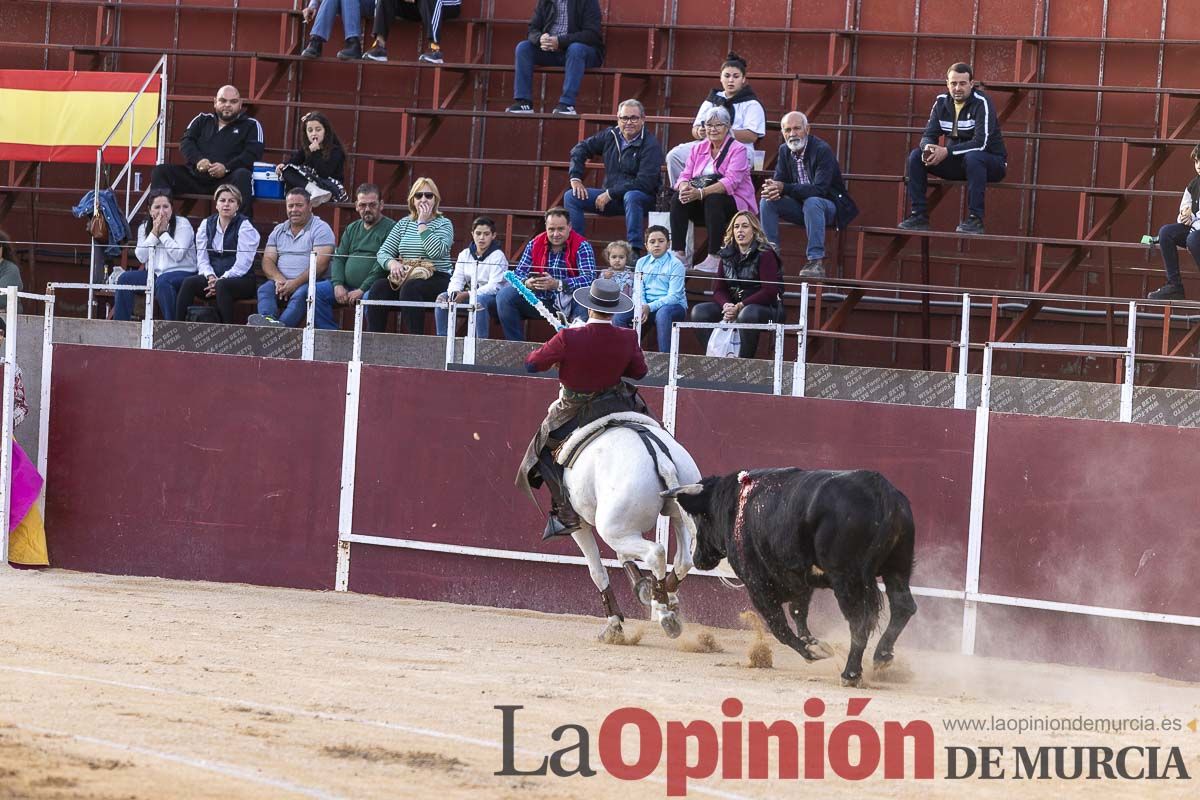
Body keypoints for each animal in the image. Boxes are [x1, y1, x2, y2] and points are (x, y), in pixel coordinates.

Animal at [559, 417, 700, 642]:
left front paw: (614, 625)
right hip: (677, 514)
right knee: (684, 559)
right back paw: (666, 597)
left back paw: (664, 613)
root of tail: (662, 459)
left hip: (611, 529)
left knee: (656, 553)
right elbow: (624, 558)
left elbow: (597, 571)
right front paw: (644, 588)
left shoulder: (579, 525)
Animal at [667, 465, 916, 686]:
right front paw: (814, 643)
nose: (698, 558)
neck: (735, 505)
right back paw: (882, 657)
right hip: (898, 568)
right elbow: (798, 613)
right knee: (903, 606)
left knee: (859, 621)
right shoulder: (799, 579)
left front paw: (812, 652)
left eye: (701, 518)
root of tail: (881, 491)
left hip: (846, 578)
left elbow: (780, 627)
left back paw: (851, 674)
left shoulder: (756, 583)